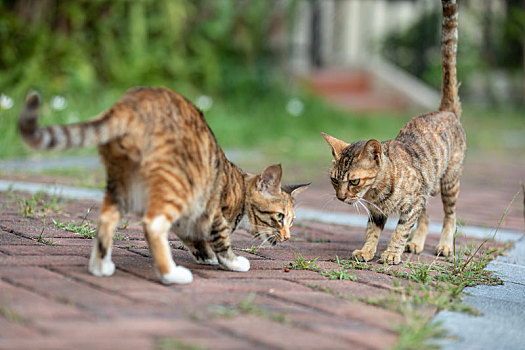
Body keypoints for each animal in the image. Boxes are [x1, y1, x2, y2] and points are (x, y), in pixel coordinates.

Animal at [19, 87, 308, 284]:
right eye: (280, 217)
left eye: (292, 222)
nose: (288, 237)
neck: (239, 187)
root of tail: (131, 104)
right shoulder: (213, 209)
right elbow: (221, 240)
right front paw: (232, 262)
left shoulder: (191, 217)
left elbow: (195, 239)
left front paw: (206, 255)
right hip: (176, 185)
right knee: (153, 224)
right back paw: (172, 275)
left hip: (122, 182)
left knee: (106, 220)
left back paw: (100, 267)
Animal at [322, 0, 464, 262]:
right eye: (334, 179)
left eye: (354, 181)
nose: (340, 197)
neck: (374, 193)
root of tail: (445, 110)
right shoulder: (379, 210)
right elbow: (372, 231)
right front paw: (367, 250)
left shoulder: (413, 201)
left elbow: (401, 229)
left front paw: (390, 254)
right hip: (428, 185)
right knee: (427, 218)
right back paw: (416, 243)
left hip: (449, 182)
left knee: (450, 216)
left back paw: (445, 245)